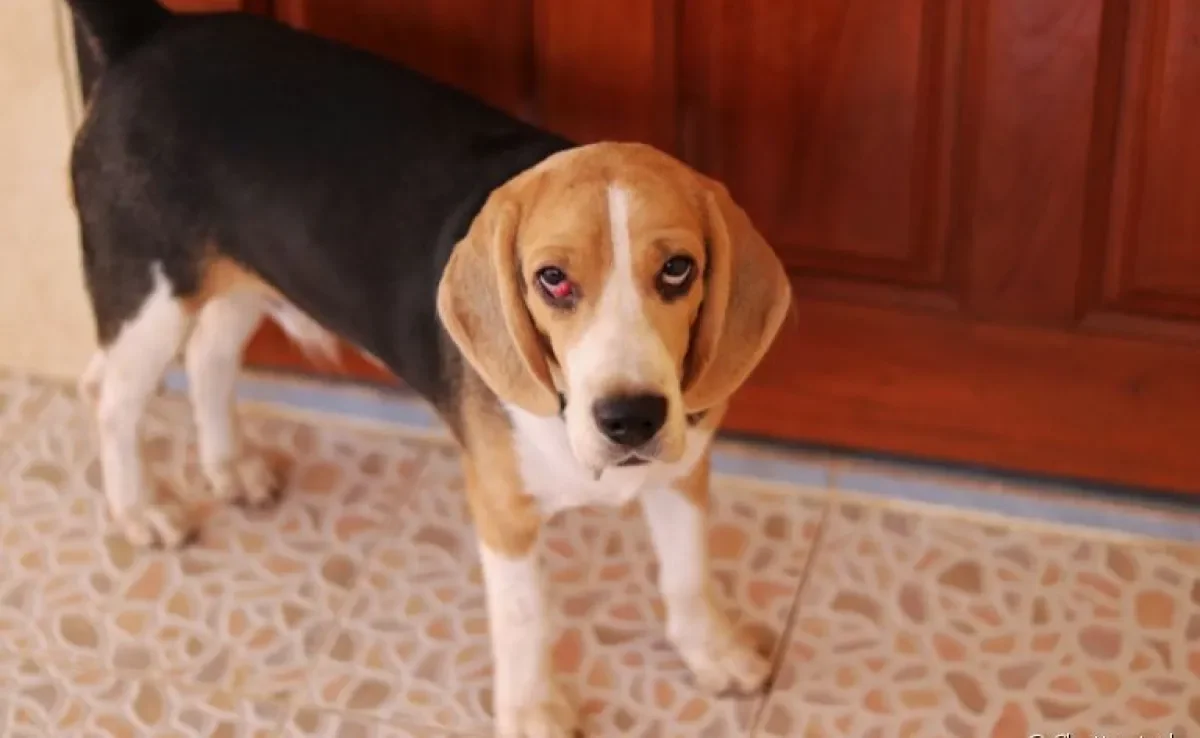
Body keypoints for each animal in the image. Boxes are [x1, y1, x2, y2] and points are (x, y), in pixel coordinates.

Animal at [70, 2, 792, 734]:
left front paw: (711, 651)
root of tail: (153, 31)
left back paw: (230, 468)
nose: (631, 419)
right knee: (109, 395)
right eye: (552, 279)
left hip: (241, 281)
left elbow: (688, 572)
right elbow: (525, 620)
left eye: (678, 269)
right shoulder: (504, 512)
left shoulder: (683, 471)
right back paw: (139, 510)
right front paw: (533, 711)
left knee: (209, 356)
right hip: (150, 294)